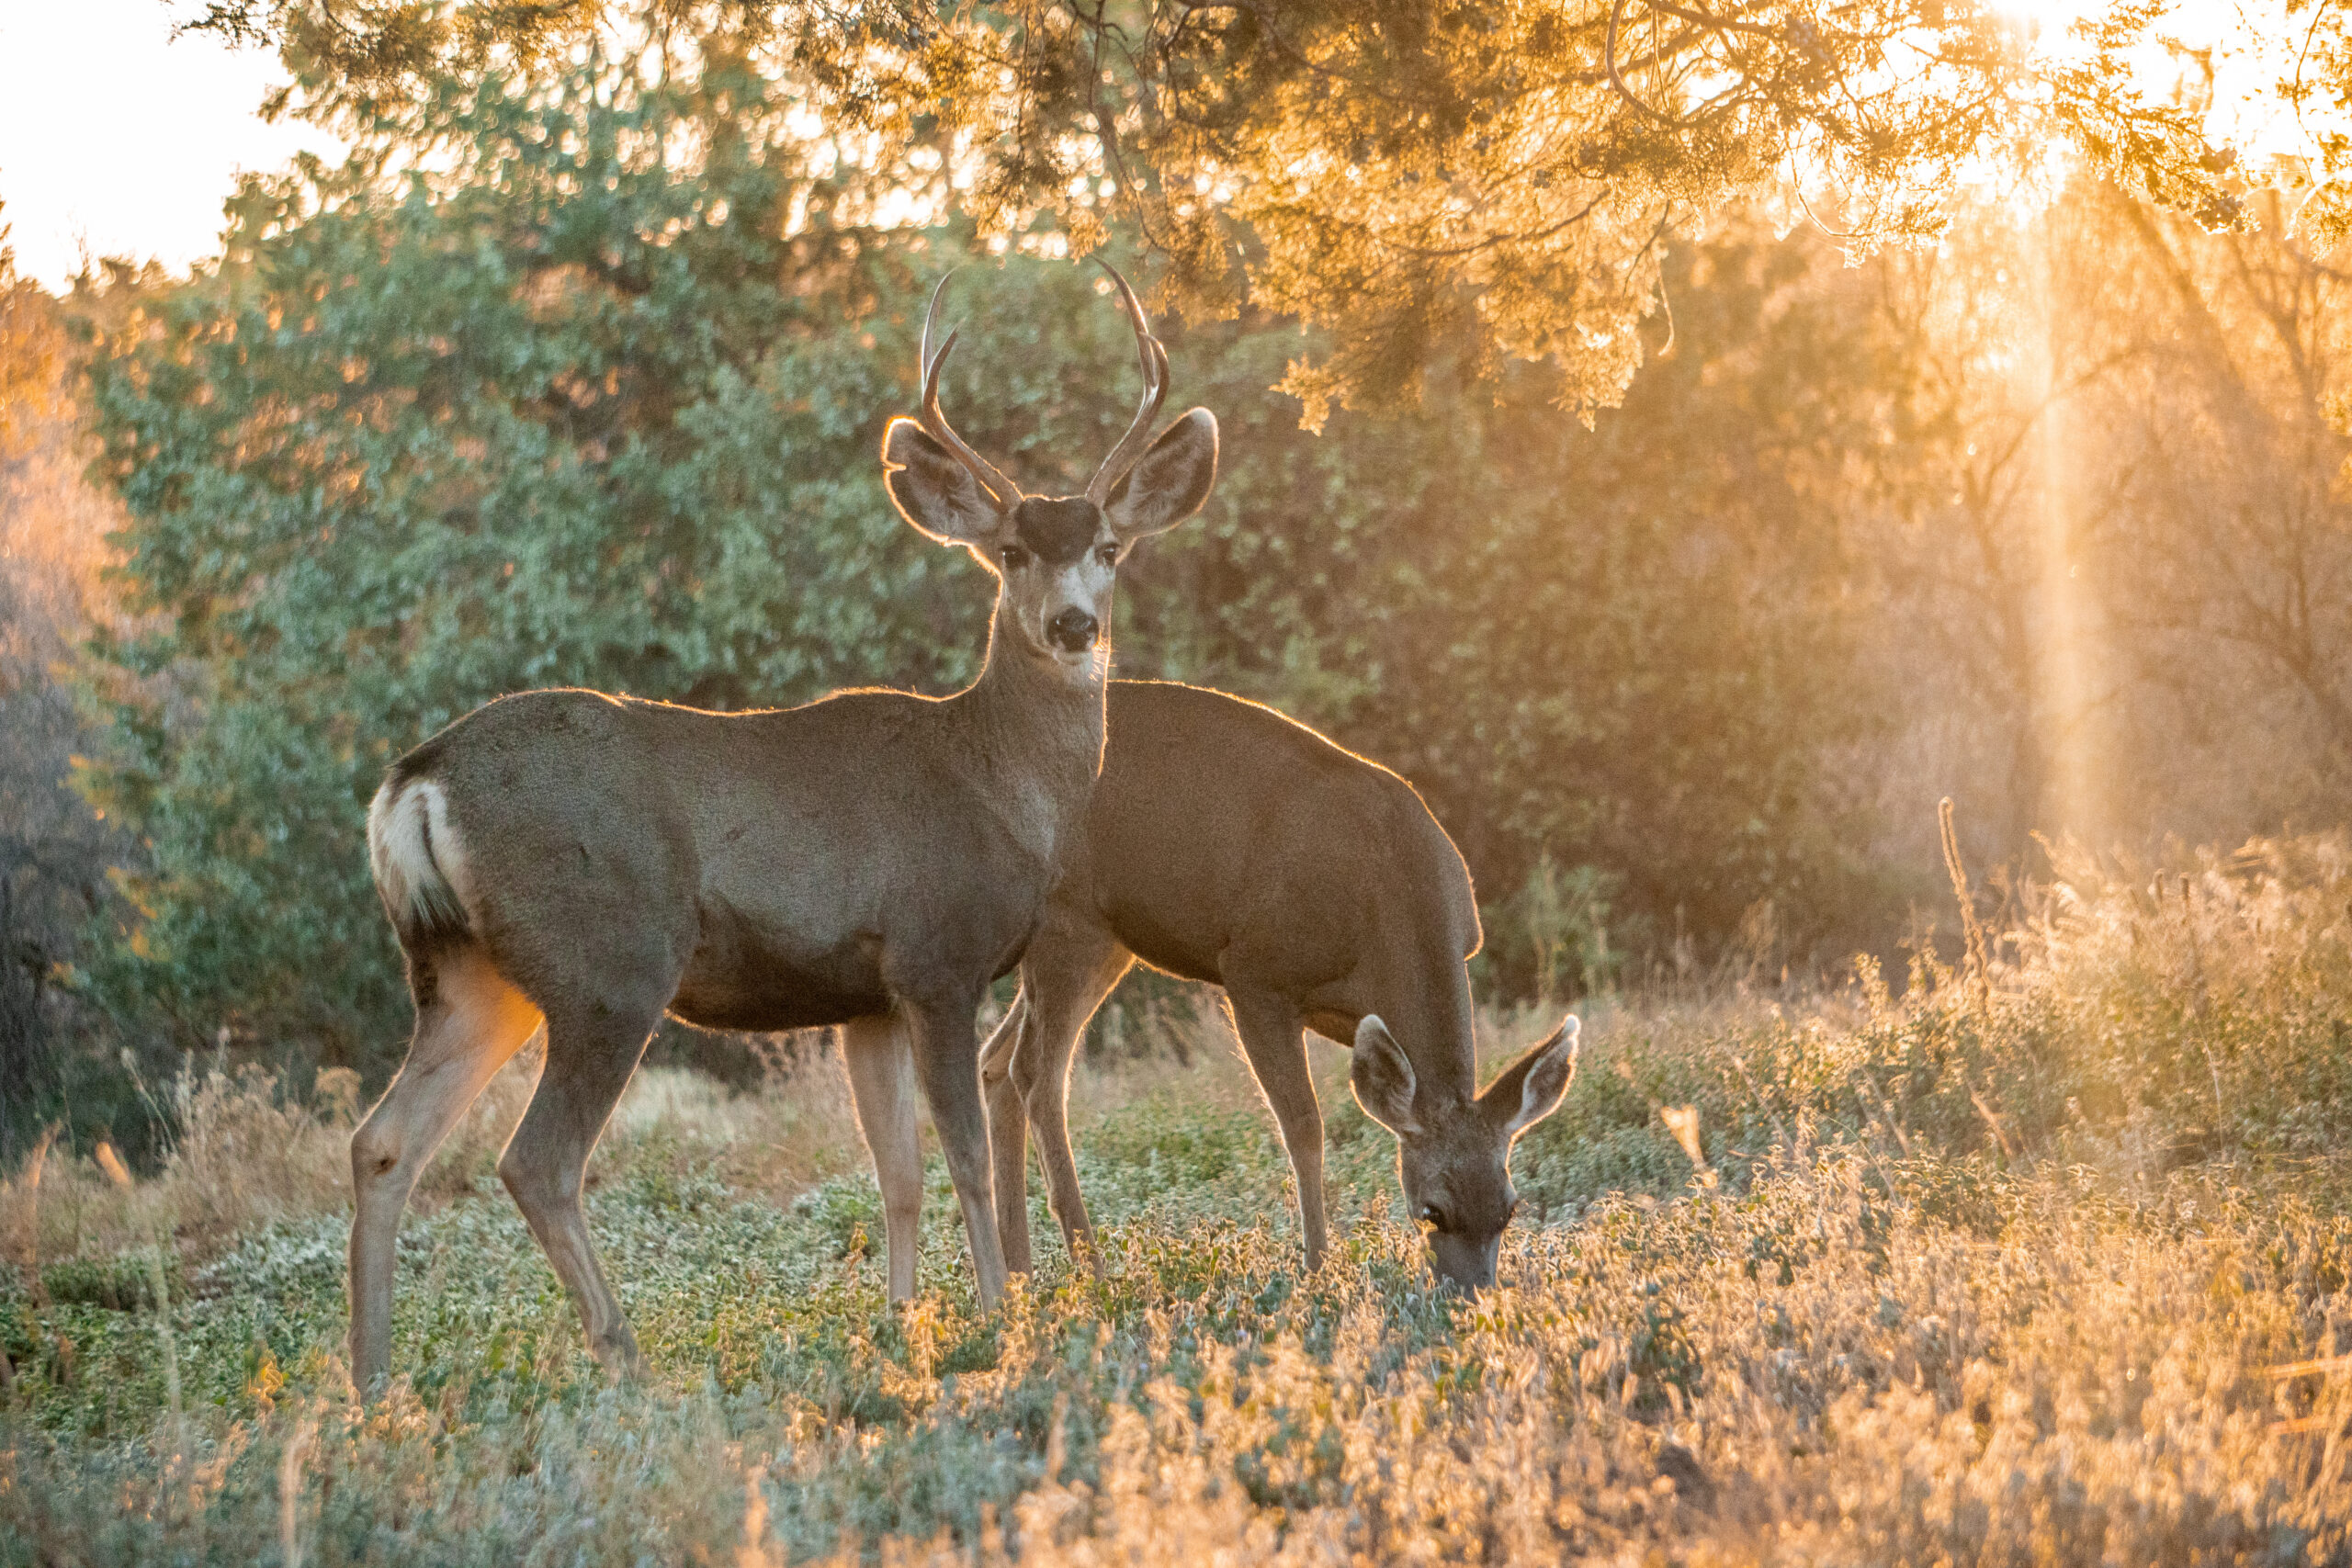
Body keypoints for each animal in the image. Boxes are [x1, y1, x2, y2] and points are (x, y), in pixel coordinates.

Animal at [359, 270, 1232, 1382]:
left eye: (1110, 549)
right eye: (1010, 552)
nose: (1074, 625)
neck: (997, 785)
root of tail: (416, 783)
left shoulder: (865, 996)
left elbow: (896, 1168)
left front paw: (905, 1318)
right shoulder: (936, 957)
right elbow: (963, 1154)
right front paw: (1000, 1314)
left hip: (467, 972)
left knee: (385, 1141)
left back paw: (369, 1382)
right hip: (608, 965)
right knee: (537, 1162)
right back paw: (625, 1358)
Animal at [846, 677, 1580, 1297]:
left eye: (1509, 1210)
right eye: (1432, 1210)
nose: (1473, 1294)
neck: (1393, 907)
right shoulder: (1254, 973)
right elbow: (1303, 1126)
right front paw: (1319, 1267)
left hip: (1108, 937)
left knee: (997, 1060)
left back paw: (1025, 1275)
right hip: (1068, 919)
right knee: (1035, 1070)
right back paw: (1091, 1268)